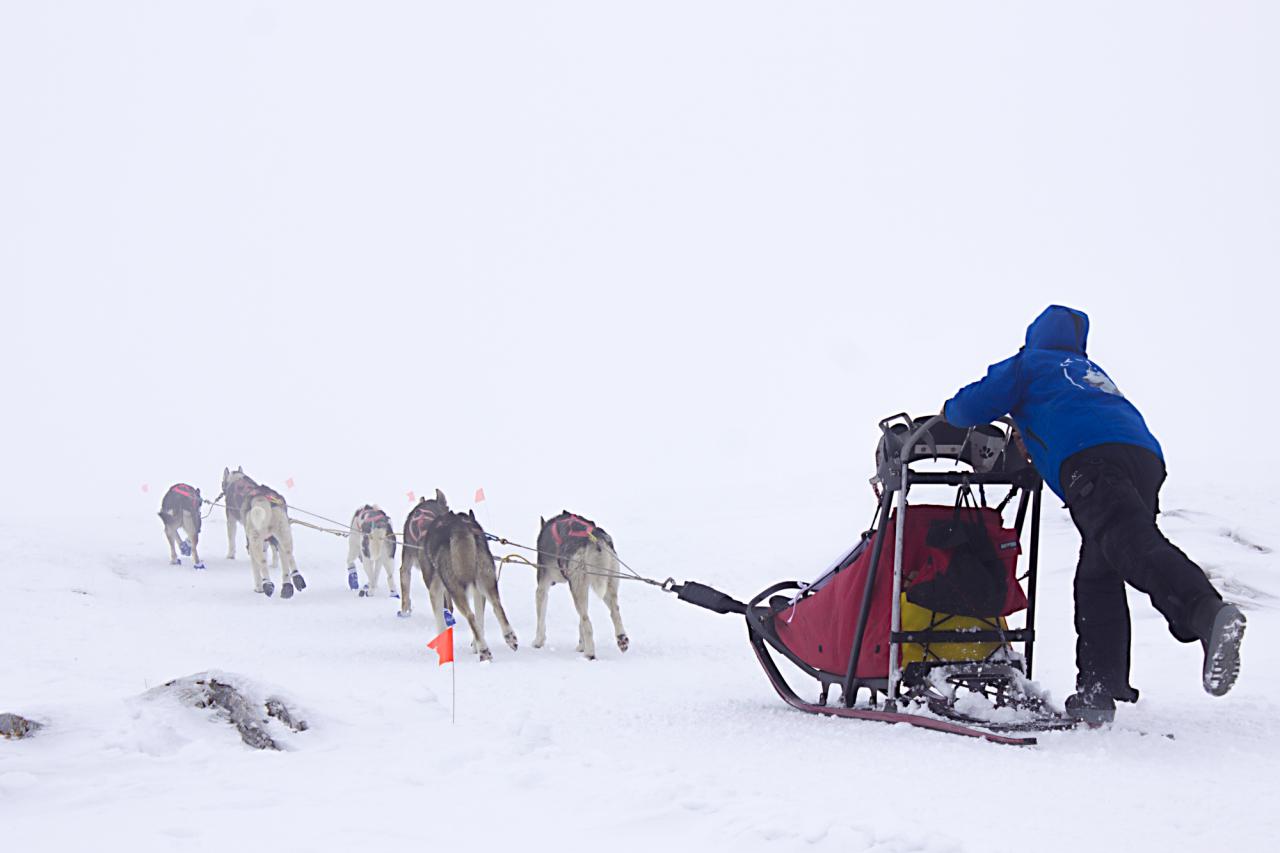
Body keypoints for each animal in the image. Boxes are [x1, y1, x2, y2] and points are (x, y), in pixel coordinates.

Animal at [424, 507, 514, 660]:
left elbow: (440, 622)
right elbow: (480, 622)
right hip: (487, 580)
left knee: (470, 616)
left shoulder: (435, 590)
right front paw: (475, 644)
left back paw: (484, 650)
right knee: (496, 605)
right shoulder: (479, 593)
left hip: (455, 589)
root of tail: (459, 526)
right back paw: (509, 637)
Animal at [532, 512, 627, 655]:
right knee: (614, 612)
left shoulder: (542, 586)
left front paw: (538, 641)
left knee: (586, 620)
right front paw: (581, 645)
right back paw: (622, 639)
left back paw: (590, 653)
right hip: (607, 583)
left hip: (578, 587)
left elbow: (541, 619)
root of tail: (595, 541)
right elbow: (579, 624)